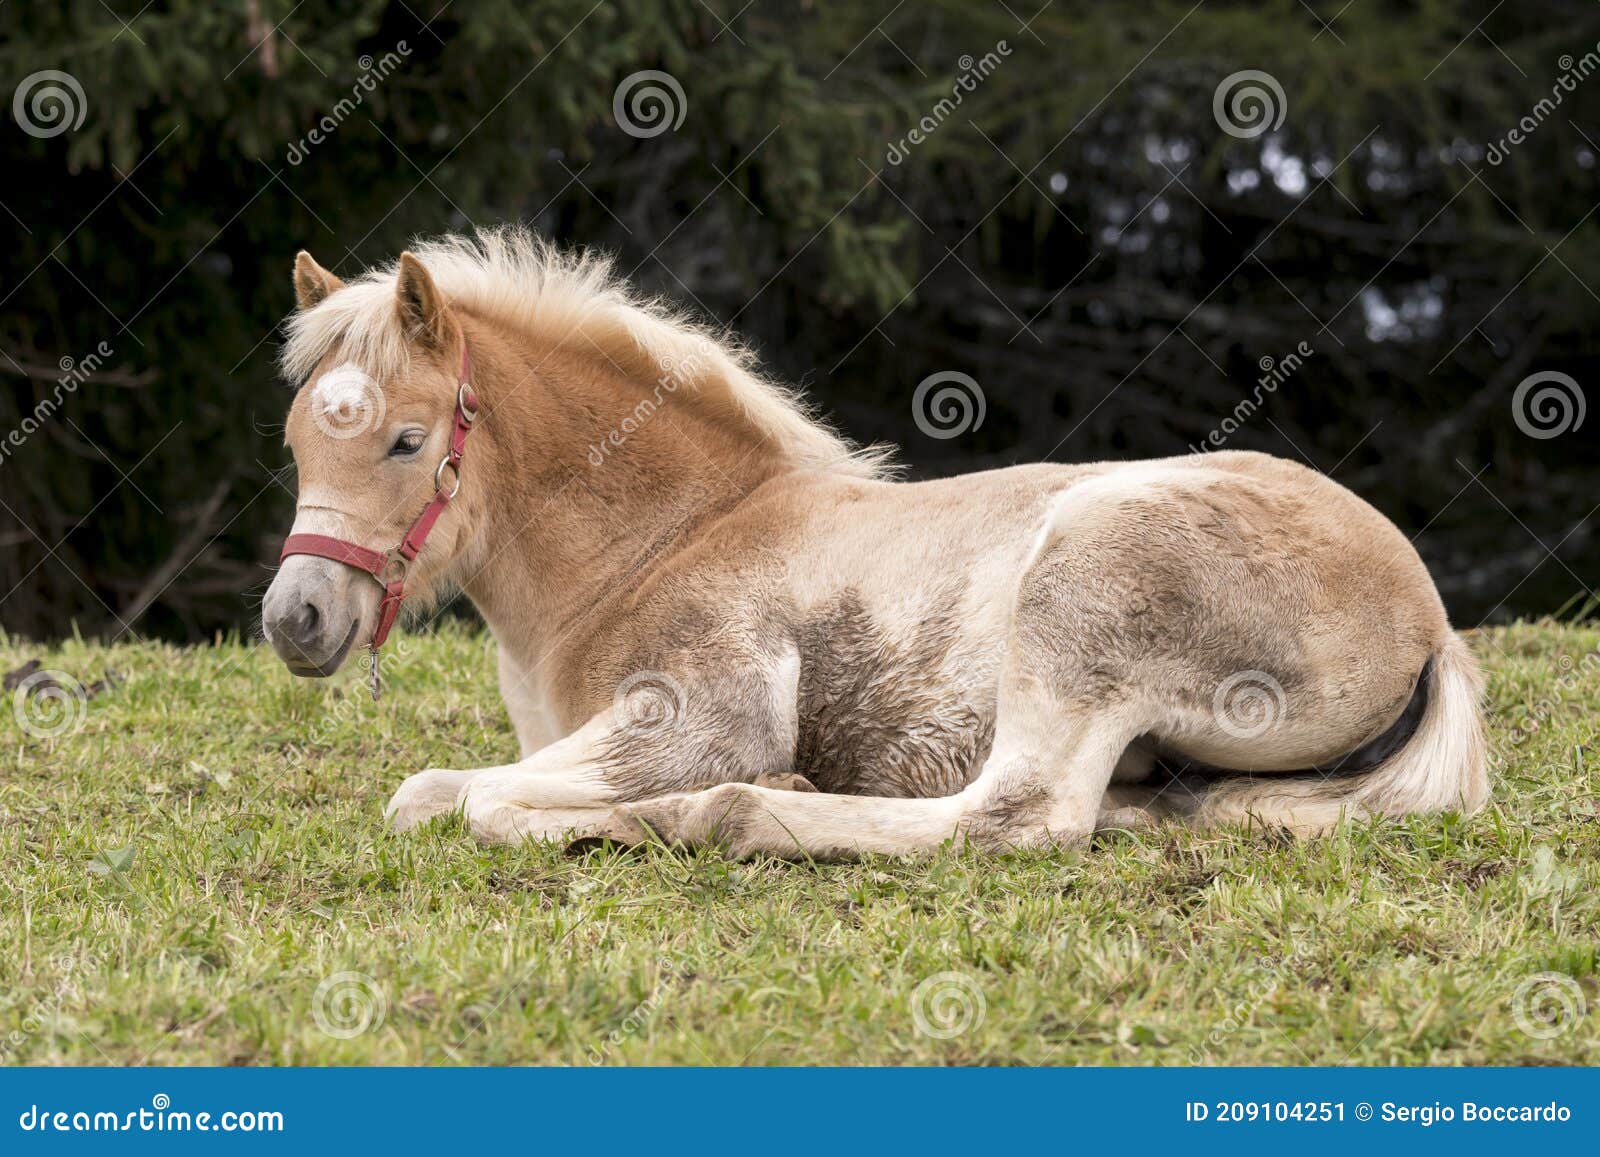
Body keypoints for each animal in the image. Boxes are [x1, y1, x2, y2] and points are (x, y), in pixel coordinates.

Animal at [262, 228, 1484, 857]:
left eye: (407, 439)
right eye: (296, 437)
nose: (295, 620)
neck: (665, 540)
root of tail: (1430, 624)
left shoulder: (701, 715)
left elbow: (450, 796)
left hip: (1082, 589)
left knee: (1018, 817)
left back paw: (721, 813)